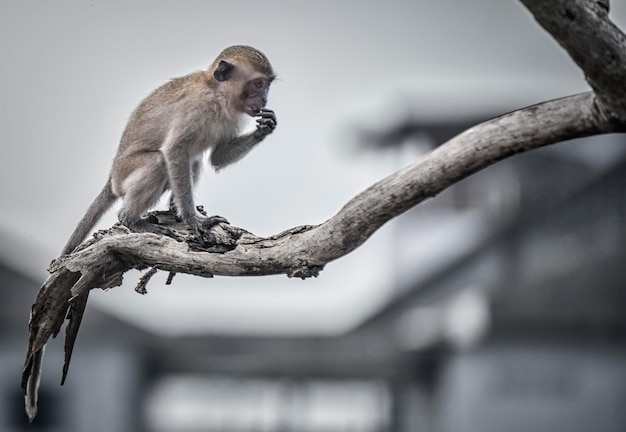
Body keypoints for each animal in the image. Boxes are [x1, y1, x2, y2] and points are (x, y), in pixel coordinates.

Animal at [61, 43, 276, 256]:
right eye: (258, 84)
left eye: (267, 85)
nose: (264, 100)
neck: (217, 93)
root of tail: (112, 177)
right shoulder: (197, 109)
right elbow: (174, 150)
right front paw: (193, 219)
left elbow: (216, 157)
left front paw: (264, 128)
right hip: (124, 173)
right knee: (159, 161)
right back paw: (131, 219)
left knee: (193, 160)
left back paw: (173, 209)